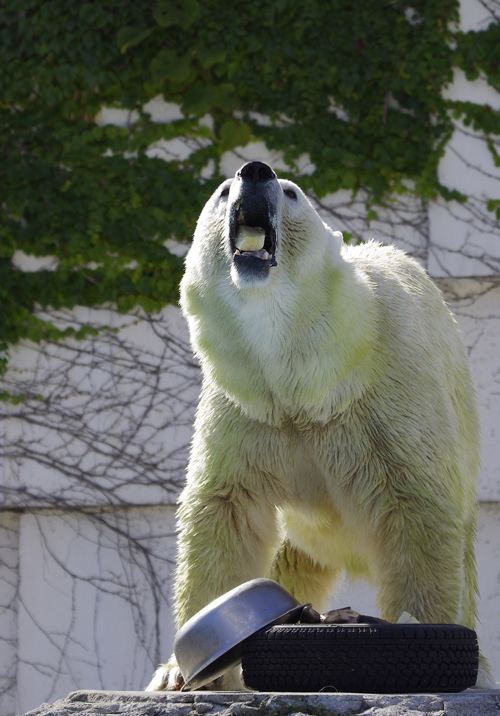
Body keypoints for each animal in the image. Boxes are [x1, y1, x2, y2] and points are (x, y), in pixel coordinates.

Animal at [148, 161, 492, 688]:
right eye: (223, 190)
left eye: (291, 192)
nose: (255, 171)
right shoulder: (246, 407)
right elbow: (224, 511)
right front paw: (176, 674)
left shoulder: (386, 395)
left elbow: (417, 508)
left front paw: (418, 625)